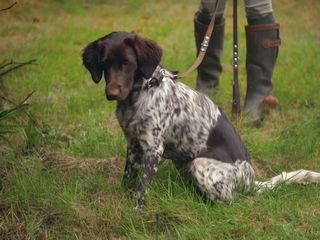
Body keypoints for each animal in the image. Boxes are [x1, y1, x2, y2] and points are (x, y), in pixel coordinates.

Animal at [82, 31, 320, 210]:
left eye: (127, 63)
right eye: (104, 64)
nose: (112, 93)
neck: (138, 95)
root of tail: (250, 181)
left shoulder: (153, 149)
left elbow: (141, 189)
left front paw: (136, 212)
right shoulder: (132, 144)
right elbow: (128, 178)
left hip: (200, 163)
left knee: (232, 201)